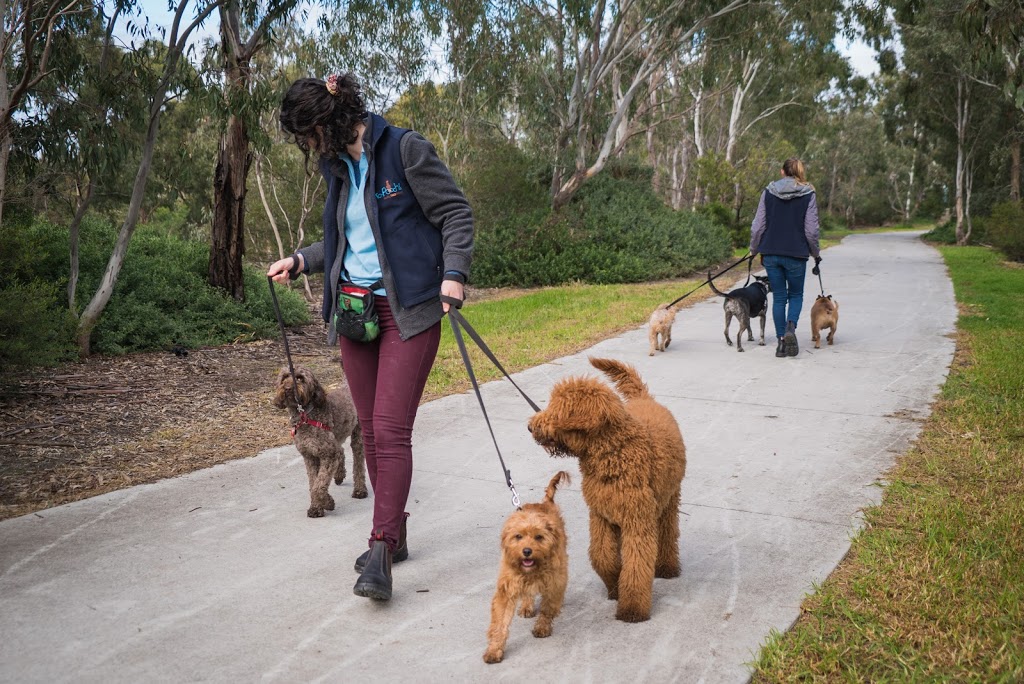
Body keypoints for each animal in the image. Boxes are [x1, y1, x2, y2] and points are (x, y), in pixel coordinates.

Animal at [272, 366, 368, 516]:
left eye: (300, 378)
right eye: (284, 377)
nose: (287, 388)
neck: (305, 415)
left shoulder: (328, 455)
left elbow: (319, 484)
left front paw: (327, 503)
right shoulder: (310, 457)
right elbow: (314, 483)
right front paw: (316, 507)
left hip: (357, 435)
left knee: (358, 463)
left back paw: (359, 490)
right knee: (341, 451)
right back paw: (339, 475)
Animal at [483, 471, 573, 663]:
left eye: (539, 537)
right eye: (518, 536)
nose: (526, 551)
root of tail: (545, 503)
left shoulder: (554, 582)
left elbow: (547, 608)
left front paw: (542, 627)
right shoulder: (506, 590)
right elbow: (499, 624)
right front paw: (494, 649)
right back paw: (526, 606)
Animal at [528, 360, 688, 622]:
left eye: (559, 409)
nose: (530, 426)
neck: (614, 454)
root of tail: (644, 398)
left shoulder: (637, 520)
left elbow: (636, 566)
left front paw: (632, 608)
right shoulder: (601, 515)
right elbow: (602, 556)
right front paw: (614, 585)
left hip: (669, 498)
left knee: (667, 533)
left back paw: (667, 567)